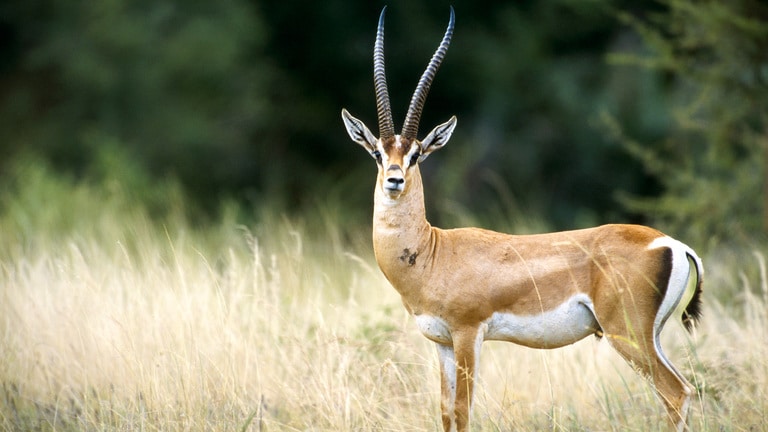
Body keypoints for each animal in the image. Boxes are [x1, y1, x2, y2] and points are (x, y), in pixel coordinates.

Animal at [341, 7, 703, 432]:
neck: (432, 253)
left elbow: (463, 410)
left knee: (676, 392)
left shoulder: (468, 334)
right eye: (378, 153)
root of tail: (672, 244)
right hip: (650, 336)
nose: (395, 180)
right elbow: (446, 411)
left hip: (627, 334)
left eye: (416, 154)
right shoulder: (443, 343)